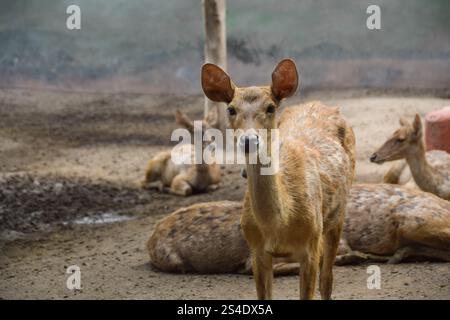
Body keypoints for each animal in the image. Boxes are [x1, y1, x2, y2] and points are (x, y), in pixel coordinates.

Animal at [199, 59, 356, 300]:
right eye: (231, 109)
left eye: (270, 107)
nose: (249, 141)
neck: (279, 225)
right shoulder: (257, 250)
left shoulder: (311, 246)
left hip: (336, 216)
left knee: (327, 279)